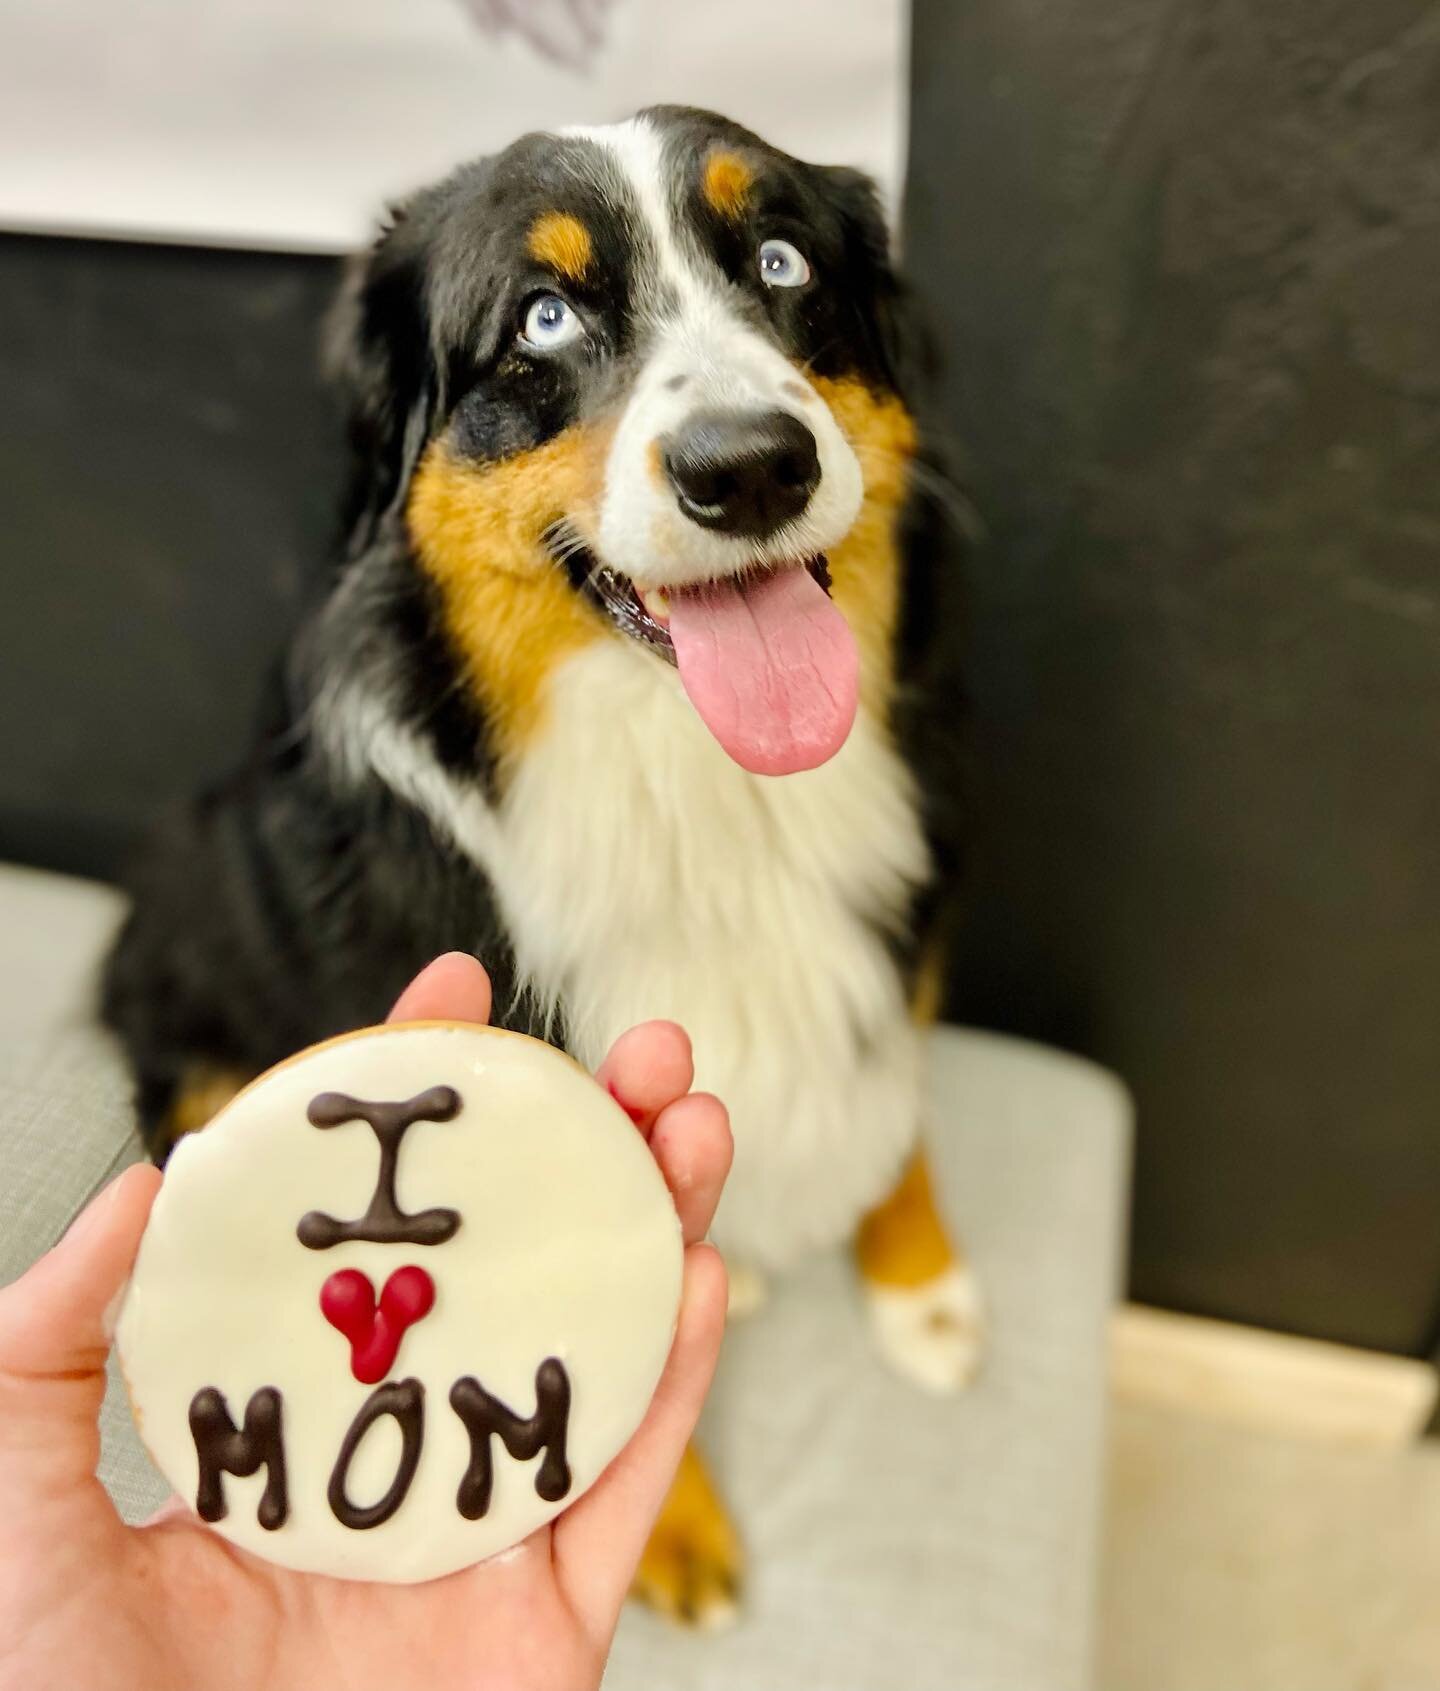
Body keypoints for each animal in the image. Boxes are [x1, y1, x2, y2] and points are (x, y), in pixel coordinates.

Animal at [101, 105, 980, 1623]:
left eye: (784, 261)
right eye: (545, 319)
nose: (752, 465)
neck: (700, 788)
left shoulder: (907, 907)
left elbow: (897, 1077)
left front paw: (914, 1270)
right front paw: (666, 1528)